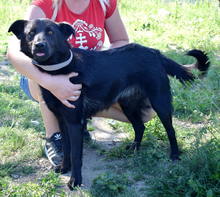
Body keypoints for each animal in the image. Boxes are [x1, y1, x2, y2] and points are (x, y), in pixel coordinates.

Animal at [7, 19, 209, 190]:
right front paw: (64, 167)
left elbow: (75, 154)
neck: (58, 68)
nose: (39, 45)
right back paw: (134, 148)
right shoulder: (62, 120)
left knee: (170, 130)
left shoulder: (74, 122)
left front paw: (75, 180)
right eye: (31, 33)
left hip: (159, 102)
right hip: (129, 105)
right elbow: (65, 148)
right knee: (140, 126)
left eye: (50, 32)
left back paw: (174, 155)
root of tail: (155, 52)